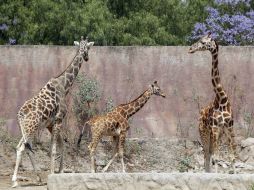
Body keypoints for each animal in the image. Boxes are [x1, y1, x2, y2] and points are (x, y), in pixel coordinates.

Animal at [11, 36, 94, 187]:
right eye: (88, 48)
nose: (86, 58)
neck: (64, 85)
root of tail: (20, 115)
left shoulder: (50, 124)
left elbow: (61, 146)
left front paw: (59, 171)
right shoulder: (59, 119)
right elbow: (54, 149)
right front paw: (52, 172)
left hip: (27, 129)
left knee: (22, 147)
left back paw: (36, 178)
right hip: (31, 128)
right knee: (22, 148)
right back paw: (16, 181)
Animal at [189, 33, 236, 173]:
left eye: (203, 42)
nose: (190, 49)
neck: (222, 99)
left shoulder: (229, 127)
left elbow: (232, 156)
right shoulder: (215, 127)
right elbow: (216, 157)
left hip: (217, 134)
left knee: (209, 154)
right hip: (204, 132)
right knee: (206, 154)